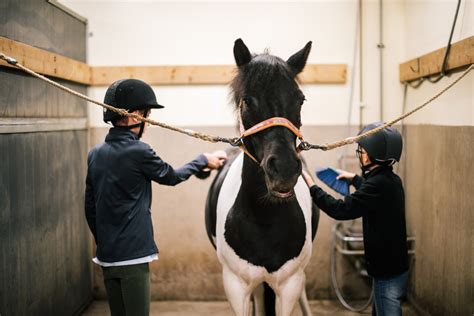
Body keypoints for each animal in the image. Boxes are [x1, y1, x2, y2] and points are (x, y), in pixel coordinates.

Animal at [204, 39, 318, 316]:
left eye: (300, 99)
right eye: (247, 101)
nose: (284, 169)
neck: (264, 218)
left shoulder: (289, 284)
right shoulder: (235, 285)